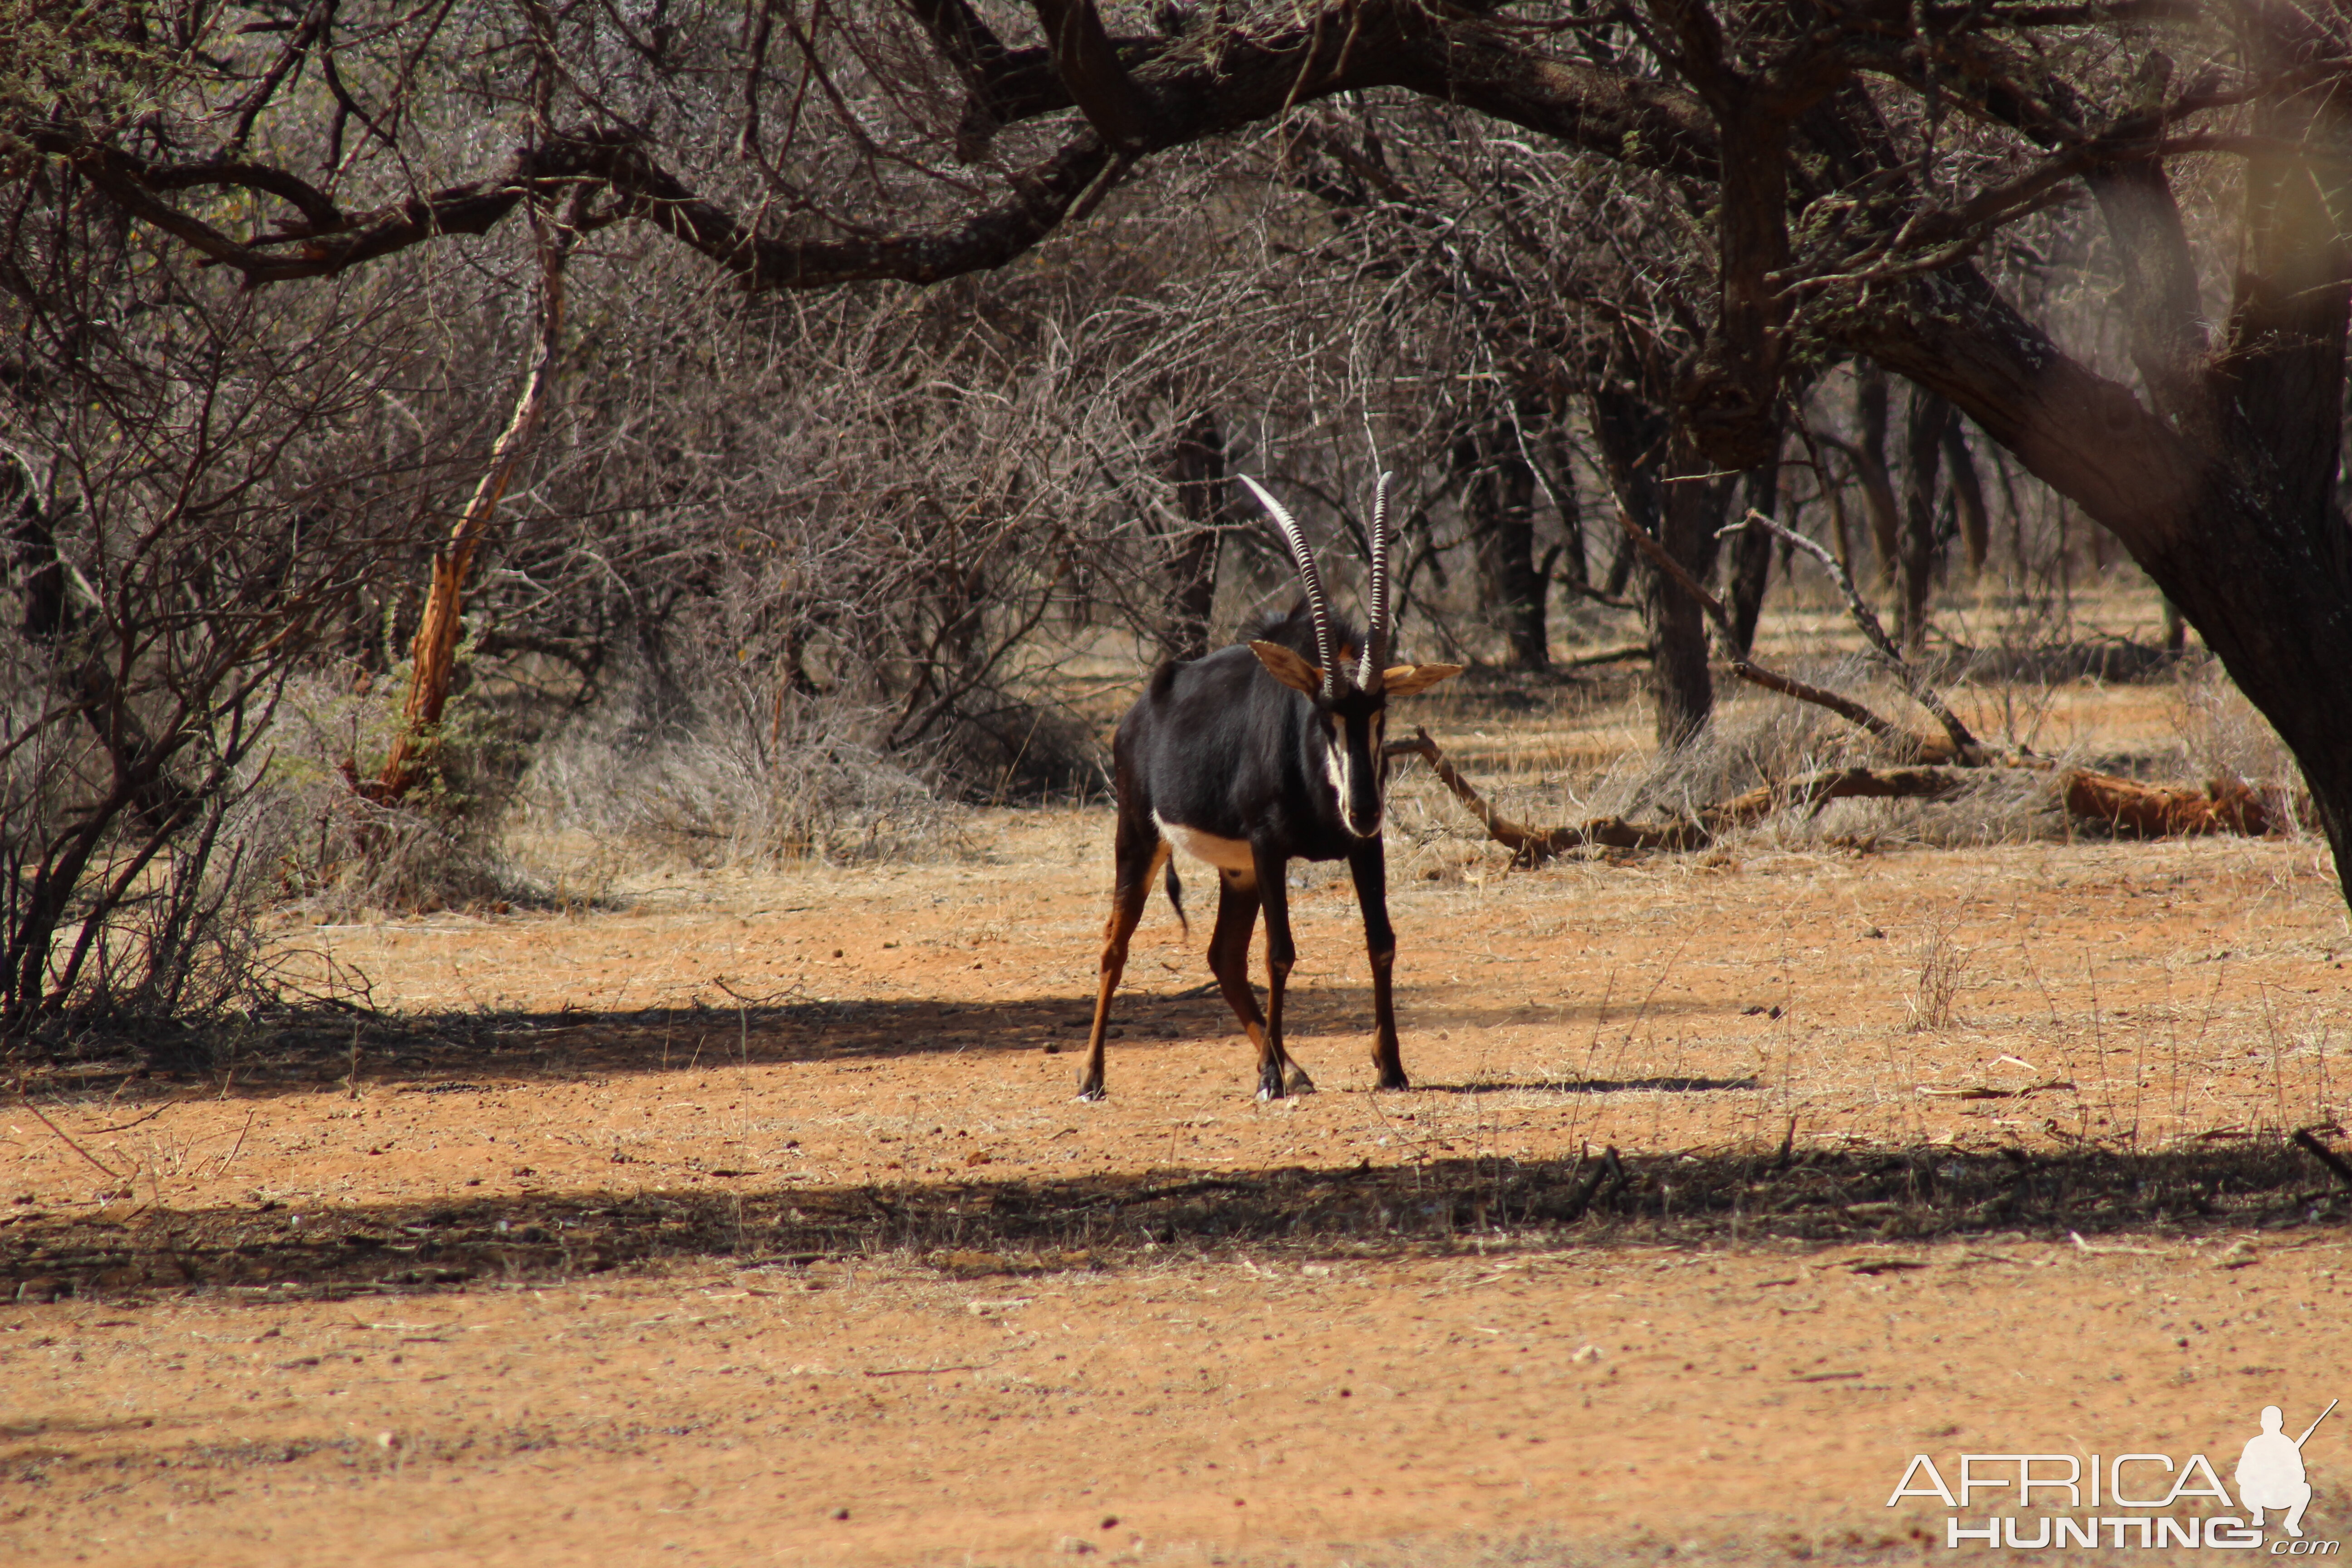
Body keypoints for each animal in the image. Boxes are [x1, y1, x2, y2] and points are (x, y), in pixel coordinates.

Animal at [1077, 472, 1449, 1100]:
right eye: (1322, 715)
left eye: (1381, 713)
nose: (1362, 808)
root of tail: (1138, 713)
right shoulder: (1270, 845)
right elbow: (1280, 953)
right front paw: (1270, 1082)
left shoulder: (1363, 848)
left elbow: (1381, 941)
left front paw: (1391, 1067)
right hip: (1141, 840)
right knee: (1114, 945)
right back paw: (1092, 1077)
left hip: (1239, 871)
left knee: (1223, 958)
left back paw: (1292, 1066)